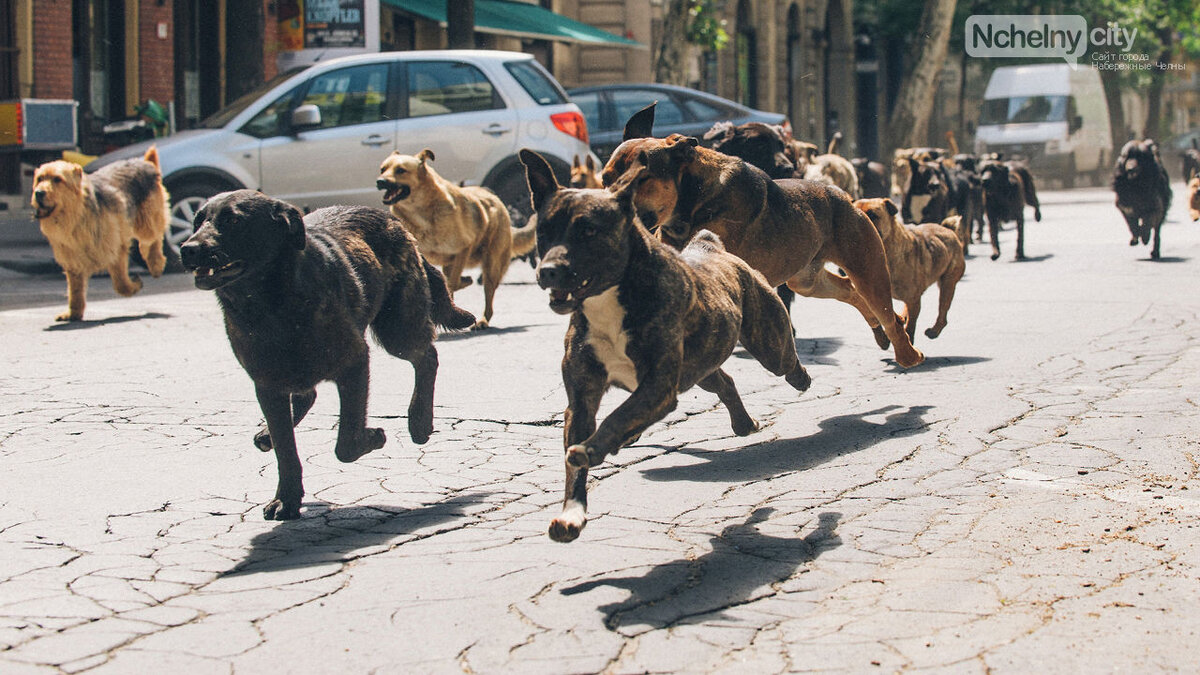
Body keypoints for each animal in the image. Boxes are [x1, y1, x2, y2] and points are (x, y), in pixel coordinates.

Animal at [29, 145, 169, 319]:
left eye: (57, 179)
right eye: (39, 179)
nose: (38, 193)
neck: (76, 217)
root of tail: (145, 163)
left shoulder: (116, 248)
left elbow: (120, 283)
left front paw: (133, 286)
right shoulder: (73, 261)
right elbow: (75, 292)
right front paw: (73, 314)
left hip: (146, 223)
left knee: (155, 237)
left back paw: (156, 263)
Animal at [180, 192, 475, 516]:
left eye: (233, 221)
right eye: (197, 222)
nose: (187, 249)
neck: (271, 306)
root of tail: (392, 220)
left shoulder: (355, 364)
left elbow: (345, 442)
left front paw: (372, 437)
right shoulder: (267, 386)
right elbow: (286, 451)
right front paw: (287, 498)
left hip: (398, 329)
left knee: (428, 357)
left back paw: (419, 421)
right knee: (307, 395)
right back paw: (267, 434)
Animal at [374, 147, 535, 329]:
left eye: (401, 170)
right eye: (383, 169)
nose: (380, 181)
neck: (421, 214)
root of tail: (496, 199)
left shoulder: (464, 248)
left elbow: (453, 281)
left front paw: (463, 282)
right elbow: (449, 282)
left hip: (491, 265)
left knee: (488, 296)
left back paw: (482, 320)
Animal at [520, 148, 811, 540]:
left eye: (588, 230)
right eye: (544, 232)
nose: (548, 271)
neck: (611, 298)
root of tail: (711, 247)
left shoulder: (657, 386)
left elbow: (616, 417)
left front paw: (592, 449)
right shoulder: (582, 400)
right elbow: (580, 460)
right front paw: (571, 514)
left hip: (766, 343)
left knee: (784, 360)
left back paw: (800, 378)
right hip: (700, 366)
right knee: (724, 381)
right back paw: (741, 422)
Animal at [854, 196, 964, 338]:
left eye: (873, 215)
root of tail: (949, 230)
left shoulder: (913, 300)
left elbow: (910, 328)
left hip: (947, 284)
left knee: (943, 311)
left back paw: (934, 330)